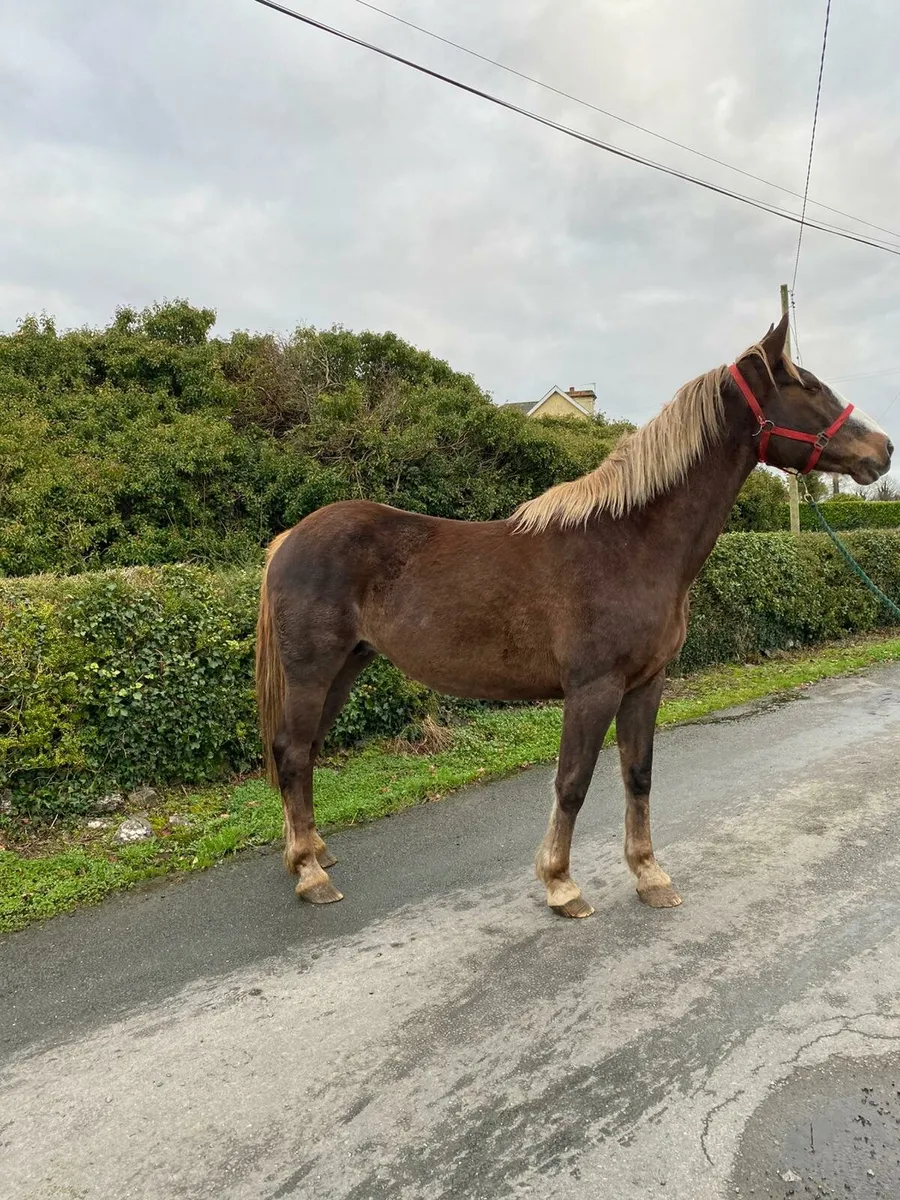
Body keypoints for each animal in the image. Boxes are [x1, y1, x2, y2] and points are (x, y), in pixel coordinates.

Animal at [255, 314, 892, 917]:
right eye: (810, 386)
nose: (883, 449)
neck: (629, 543)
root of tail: (288, 541)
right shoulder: (593, 688)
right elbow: (573, 782)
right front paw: (561, 884)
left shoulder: (646, 684)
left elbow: (638, 775)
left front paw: (649, 874)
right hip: (313, 672)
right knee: (292, 752)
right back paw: (310, 874)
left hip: (345, 668)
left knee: (304, 753)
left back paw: (312, 853)